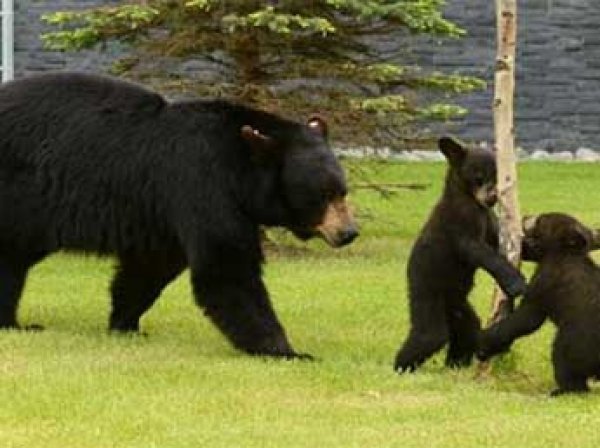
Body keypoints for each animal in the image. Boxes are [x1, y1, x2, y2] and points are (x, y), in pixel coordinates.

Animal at [0, 72, 356, 358]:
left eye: (343, 190)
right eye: (323, 195)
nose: (349, 232)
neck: (238, 168)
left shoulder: (163, 215)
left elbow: (151, 267)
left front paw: (125, 324)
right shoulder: (202, 184)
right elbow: (226, 268)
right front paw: (286, 351)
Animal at [394, 137, 524, 374]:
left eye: (497, 176)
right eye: (478, 177)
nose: (492, 197)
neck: (470, 201)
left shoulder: (487, 220)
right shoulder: (459, 223)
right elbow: (480, 252)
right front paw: (515, 282)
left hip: (457, 304)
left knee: (468, 329)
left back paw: (456, 364)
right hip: (428, 292)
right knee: (430, 334)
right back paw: (401, 367)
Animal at [476, 214, 600, 396]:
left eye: (541, 220)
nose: (526, 217)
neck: (562, 253)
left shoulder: (545, 283)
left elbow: (526, 319)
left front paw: (482, 343)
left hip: (576, 338)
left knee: (564, 359)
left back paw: (562, 390)